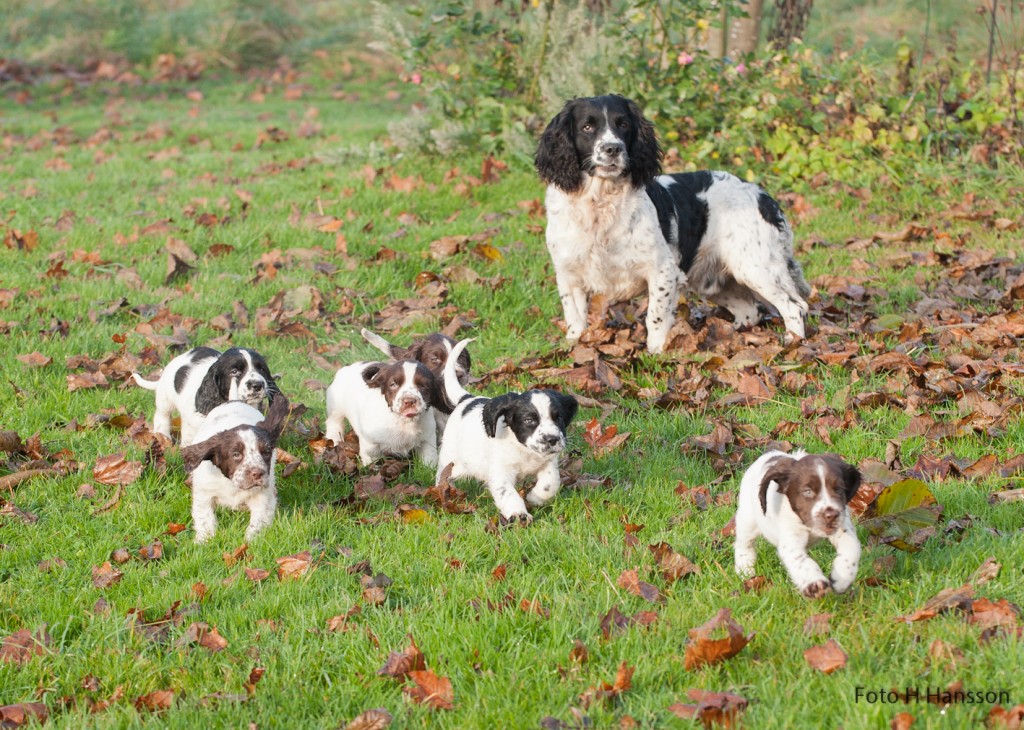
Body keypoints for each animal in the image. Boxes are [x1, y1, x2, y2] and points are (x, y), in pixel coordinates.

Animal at [131, 346, 280, 444]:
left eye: (262, 369)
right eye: (234, 371)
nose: (257, 384)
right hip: (165, 398)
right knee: (162, 416)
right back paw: (163, 436)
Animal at [181, 393, 288, 540]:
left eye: (266, 452)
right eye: (236, 454)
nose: (257, 473)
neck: (232, 485)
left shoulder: (263, 494)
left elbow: (259, 520)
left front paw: (251, 540)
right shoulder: (204, 493)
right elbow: (205, 518)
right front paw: (205, 540)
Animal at [432, 337, 577, 520]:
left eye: (558, 418)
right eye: (529, 420)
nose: (552, 439)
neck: (524, 450)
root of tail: (466, 398)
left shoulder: (548, 462)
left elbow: (550, 483)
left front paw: (535, 498)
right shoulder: (501, 472)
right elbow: (508, 493)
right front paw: (519, 514)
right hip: (452, 460)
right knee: (443, 475)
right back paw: (443, 491)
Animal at [532, 94, 811, 352]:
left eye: (623, 124)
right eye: (587, 127)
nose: (613, 149)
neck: (600, 205)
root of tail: (763, 196)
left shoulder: (662, 270)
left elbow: (655, 316)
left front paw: (656, 352)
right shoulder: (568, 275)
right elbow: (575, 319)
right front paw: (573, 348)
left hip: (755, 266)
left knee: (795, 306)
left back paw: (792, 342)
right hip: (715, 281)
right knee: (750, 310)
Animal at [733, 450, 860, 597]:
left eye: (839, 489)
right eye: (808, 491)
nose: (831, 515)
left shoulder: (843, 527)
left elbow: (851, 548)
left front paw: (842, 579)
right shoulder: (791, 540)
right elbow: (801, 561)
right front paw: (814, 584)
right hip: (748, 519)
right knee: (744, 544)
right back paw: (745, 569)